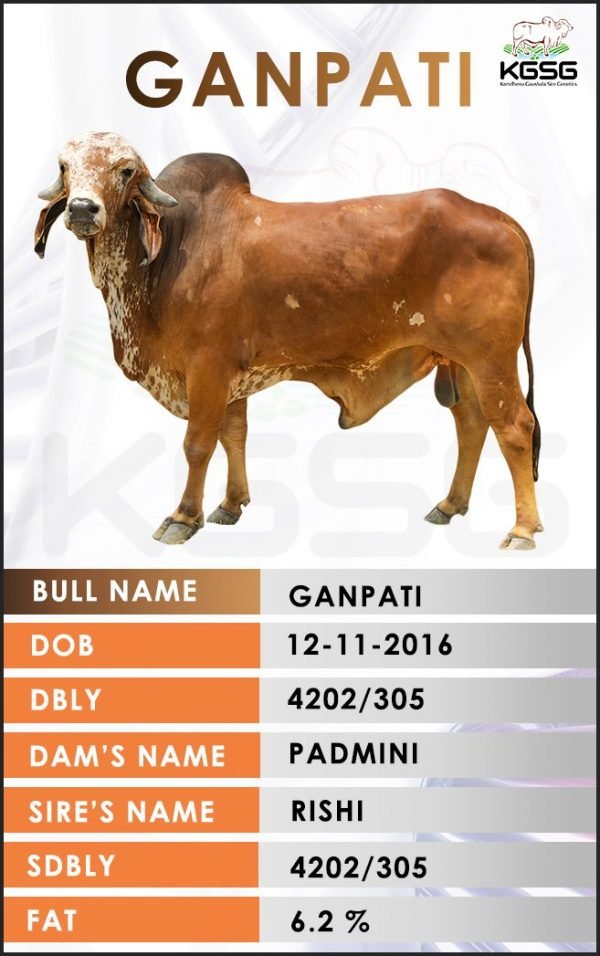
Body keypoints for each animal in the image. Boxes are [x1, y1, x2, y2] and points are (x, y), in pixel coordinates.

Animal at [35, 132, 543, 550]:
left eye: (124, 170)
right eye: (65, 166)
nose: (82, 210)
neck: (167, 255)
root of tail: (498, 215)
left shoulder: (207, 369)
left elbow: (198, 444)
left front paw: (183, 517)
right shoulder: (232, 378)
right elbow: (234, 435)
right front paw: (230, 505)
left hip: (492, 360)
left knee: (516, 427)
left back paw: (522, 529)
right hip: (461, 363)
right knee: (472, 424)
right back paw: (450, 505)